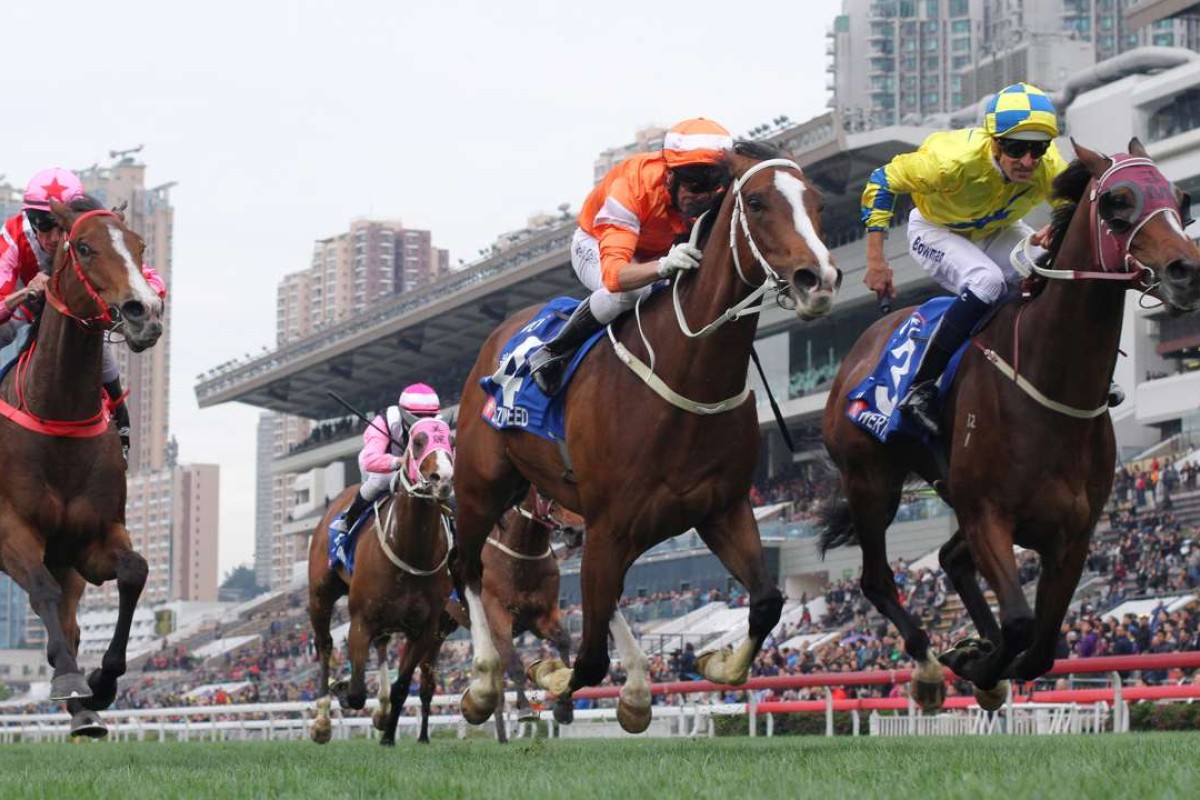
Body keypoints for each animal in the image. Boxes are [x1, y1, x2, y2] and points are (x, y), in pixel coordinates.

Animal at [0, 199, 164, 738]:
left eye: (139, 245)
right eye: (86, 247)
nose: (144, 311)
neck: (59, 413)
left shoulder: (92, 541)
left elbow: (134, 572)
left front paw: (99, 684)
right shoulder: (11, 530)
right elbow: (42, 593)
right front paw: (73, 678)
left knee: (71, 621)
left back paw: (83, 711)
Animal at [307, 417, 456, 748]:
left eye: (450, 440)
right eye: (417, 441)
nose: (442, 478)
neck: (412, 549)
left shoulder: (426, 629)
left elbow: (402, 686)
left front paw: (387, 732)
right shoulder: (360, 620)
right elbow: (356, 692)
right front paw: (342, 689)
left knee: (382, 644)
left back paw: (383, 710)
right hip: (320, 595)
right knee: (324, 645)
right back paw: (322, 721)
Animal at [482, 489, 585, 724]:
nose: (576, 531)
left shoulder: (541, 615)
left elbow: (564, 641)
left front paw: (564, 706)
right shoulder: (496, 612)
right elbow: (513, 661)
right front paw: (525, 709)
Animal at [820, 139, 1200, 714]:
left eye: (1180, 198)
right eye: (1117, 202)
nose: (1185, 270)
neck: (1050, 383)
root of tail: (859, 351)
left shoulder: (1073, 535)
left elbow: (1042, 646)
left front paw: (984, 659)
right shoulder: (988, 515)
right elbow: (1022, 624)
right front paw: (977, 664)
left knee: (949, 559)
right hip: (871, 483)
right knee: (877, 580)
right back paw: (929, 668)